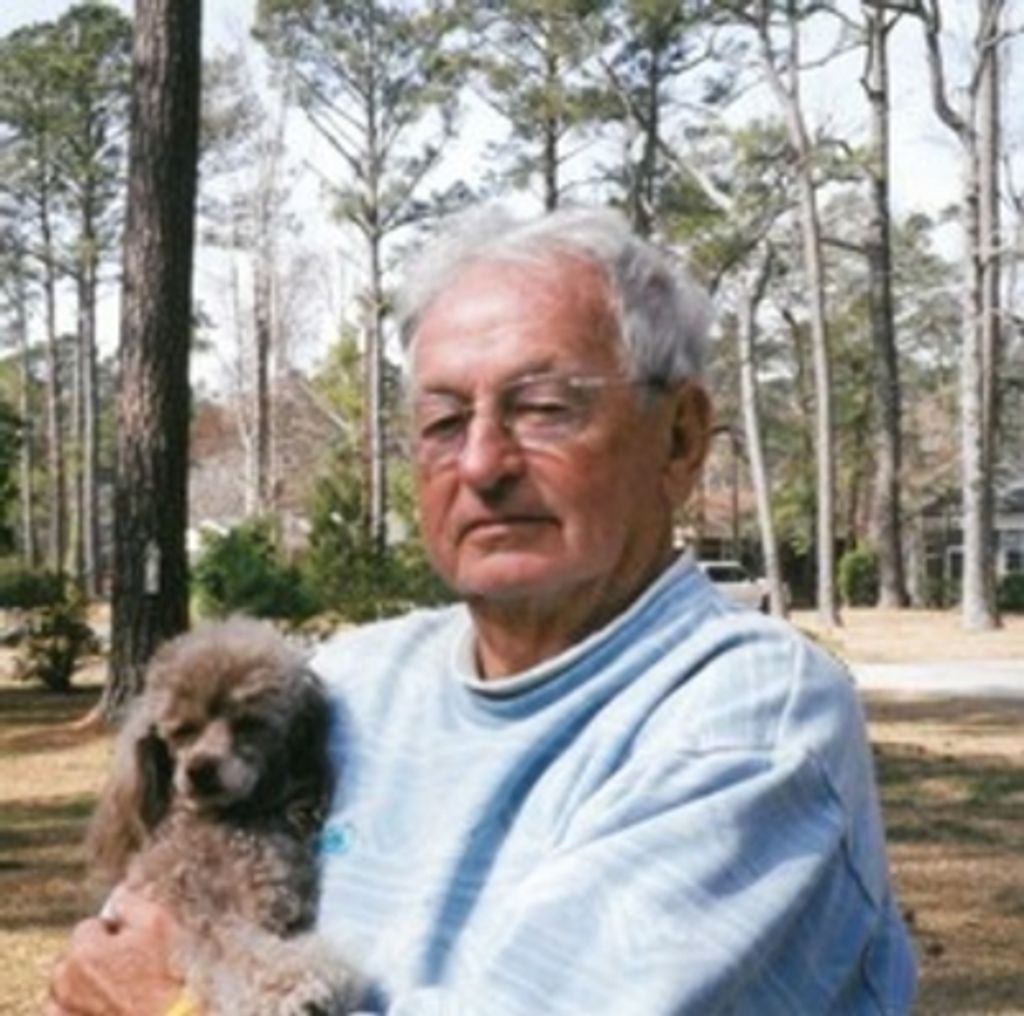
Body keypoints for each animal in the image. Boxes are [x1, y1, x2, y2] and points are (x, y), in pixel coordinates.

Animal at [87, 617, 360, 1015]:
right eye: (183, 731)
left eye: (249, 724)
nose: (200, 770)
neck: (230, 823)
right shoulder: (197, 913)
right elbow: (236, 950)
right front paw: (293, 987)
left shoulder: (283, 908)